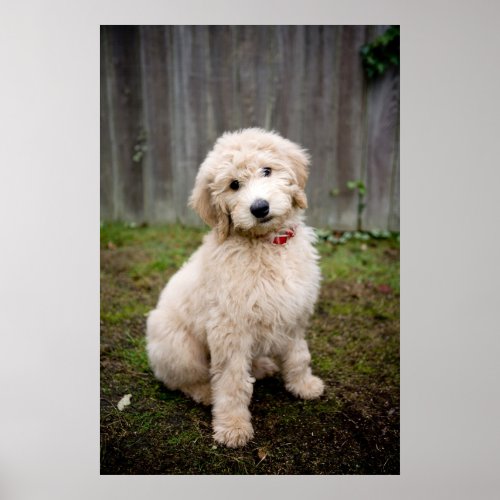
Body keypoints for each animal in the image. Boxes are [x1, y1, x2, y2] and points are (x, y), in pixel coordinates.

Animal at [146, 127, 324, 448]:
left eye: (267, 170)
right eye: (234, 185)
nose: (260, 207)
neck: (266, 244)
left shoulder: (294, 314)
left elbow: (299, 356)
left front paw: (303, 385)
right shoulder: (230, 328)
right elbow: (232, 382)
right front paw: (233, 427)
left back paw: (262, 366)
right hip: (179, 347)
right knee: (183, 380)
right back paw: (205, 392)